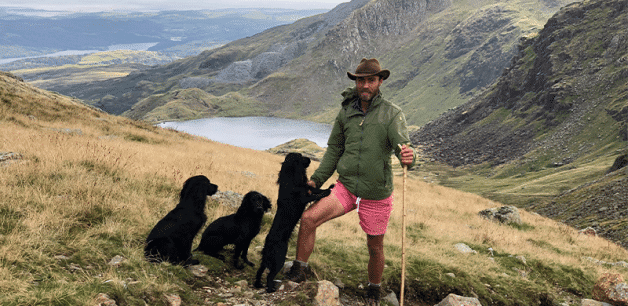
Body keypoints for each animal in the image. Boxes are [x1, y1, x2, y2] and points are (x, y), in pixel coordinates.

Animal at [254, 153, 334, 294]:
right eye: (301, 157)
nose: (310, 159)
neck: (290, 178)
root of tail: (267, 244)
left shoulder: (307, 188)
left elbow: (315, 188)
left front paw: (329, 187)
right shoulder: (304, 198)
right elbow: (316, 194)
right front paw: (327, 191)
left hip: (265, 261)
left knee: (260, 271)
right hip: (279, 259)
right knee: (269, 276)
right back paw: (271, 288)